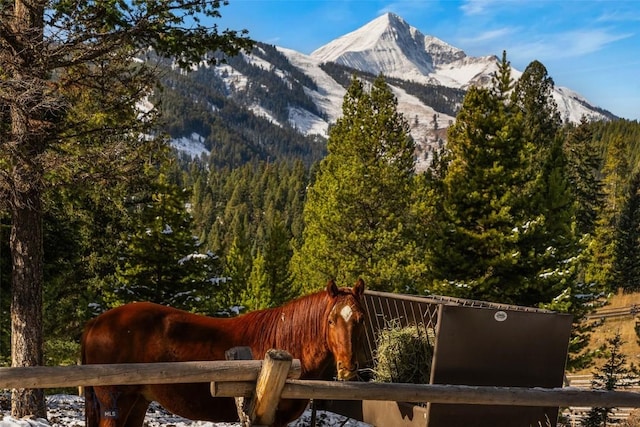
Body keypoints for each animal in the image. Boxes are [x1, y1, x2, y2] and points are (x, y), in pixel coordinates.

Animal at [81, 280, 364, 426]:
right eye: (331, 321)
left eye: (360, 319)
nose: (347, 368)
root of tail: (96, 322)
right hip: (115, 405)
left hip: (138, 401)